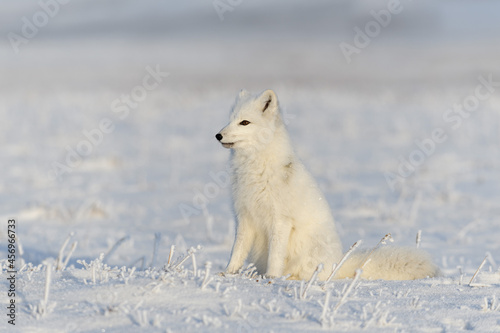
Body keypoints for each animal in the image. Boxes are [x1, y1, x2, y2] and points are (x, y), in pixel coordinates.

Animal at [215, 89, 438, 280]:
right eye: (230, 120)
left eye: (245, 122)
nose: (218, 135)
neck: (254, 169)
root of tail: (337, 265)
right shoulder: (244, 217)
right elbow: (236, 251)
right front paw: (227, 273)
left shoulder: (280, 220)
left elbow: (275, 255)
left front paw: (271, 277)